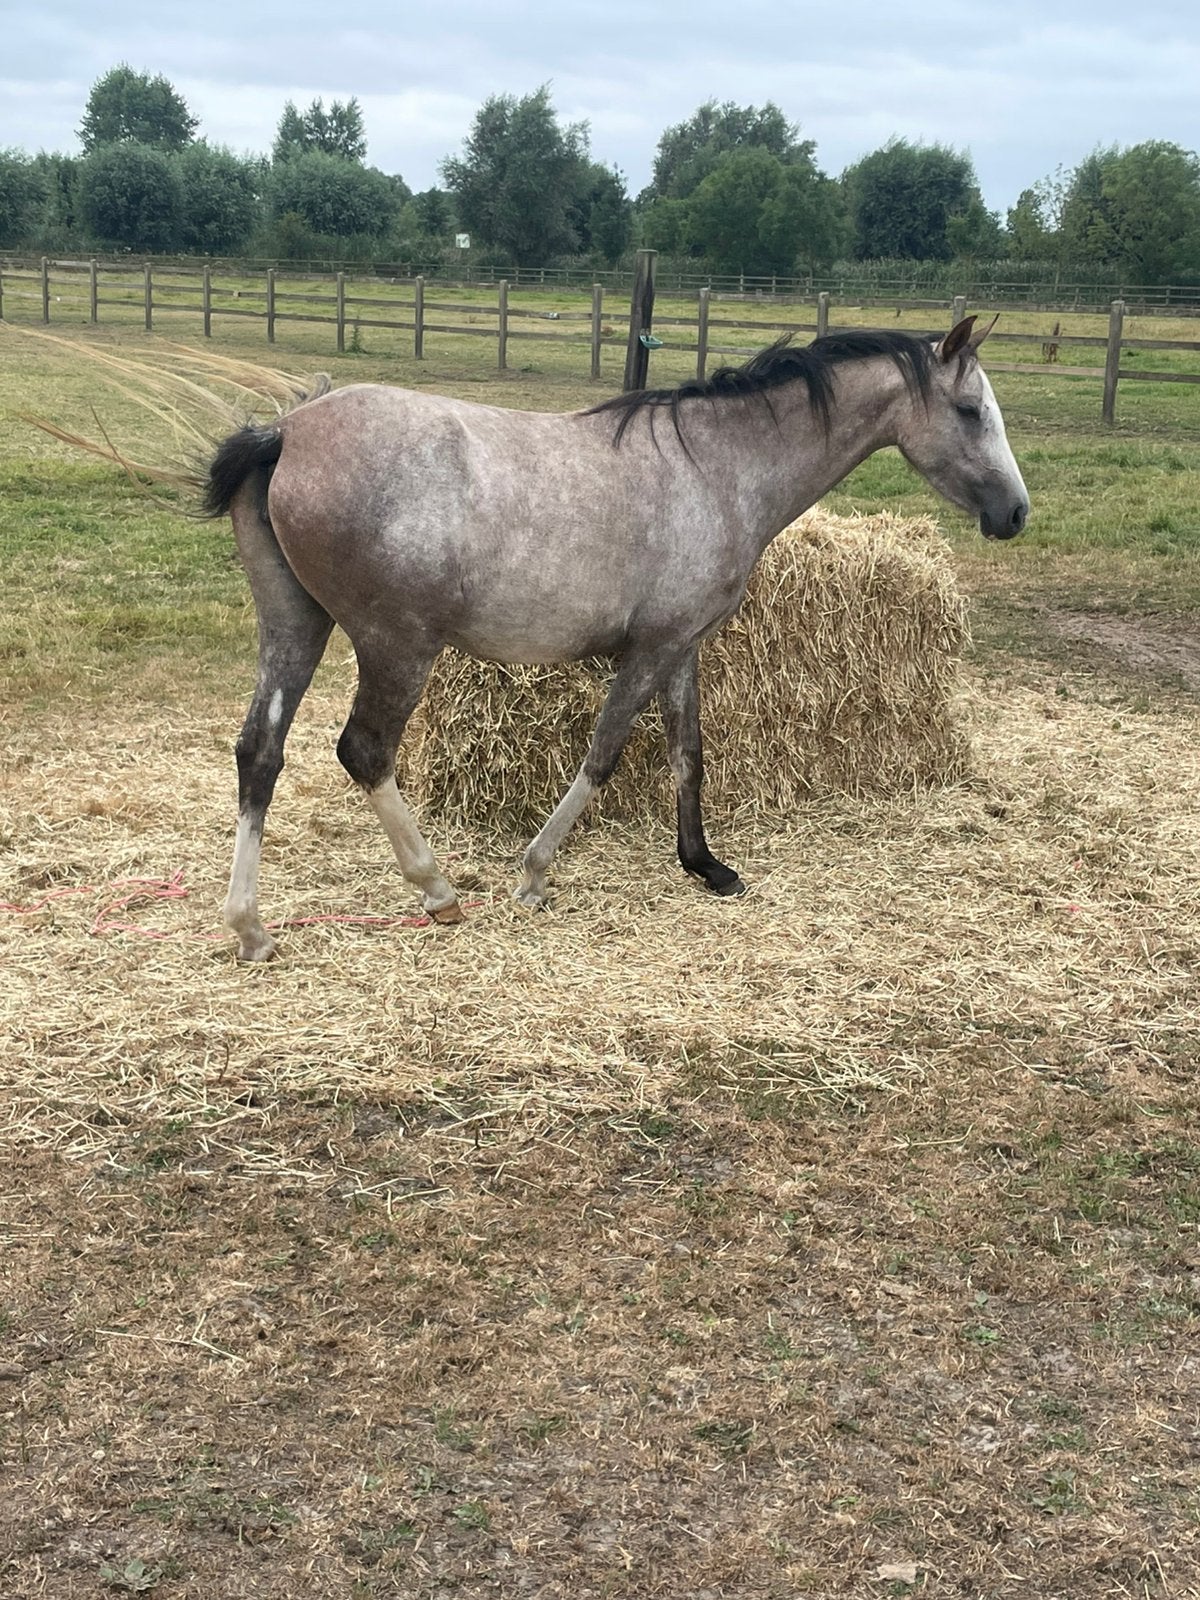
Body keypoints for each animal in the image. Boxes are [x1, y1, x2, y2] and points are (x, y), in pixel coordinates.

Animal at [206, 315, 1028, 961]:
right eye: (968, 410)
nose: (1015, 513)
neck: (716, 466)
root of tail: (286, 431)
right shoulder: (652, 649)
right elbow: (604, 754)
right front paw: (535, 873)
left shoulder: (684, 646)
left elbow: (688, 751)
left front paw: (706, 866)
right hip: (395, 646)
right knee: (365, 752)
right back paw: (437, 890)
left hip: (295, 625)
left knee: (260, 752)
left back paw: (250, 928)